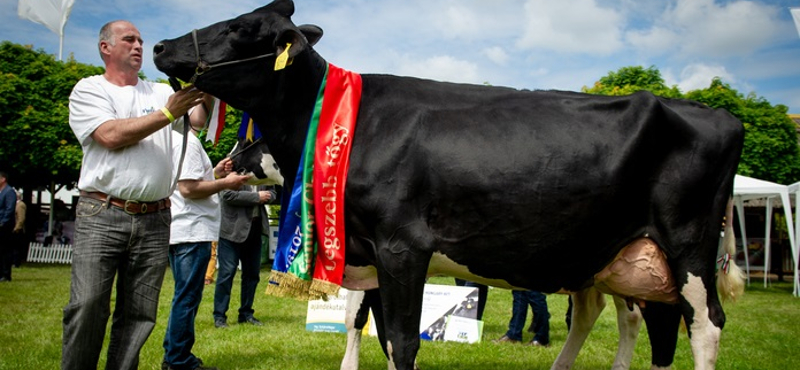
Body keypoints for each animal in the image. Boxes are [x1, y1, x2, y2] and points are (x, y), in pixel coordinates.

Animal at [155, 1, 744, 368]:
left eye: (241, 27)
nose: (160, 46)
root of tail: (716, 114)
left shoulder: (401, 247)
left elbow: (400, 341)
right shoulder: (366, 252)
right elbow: (371, 330)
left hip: (686, 246)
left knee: (705, 326)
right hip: (628, 259)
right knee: (644, 324)